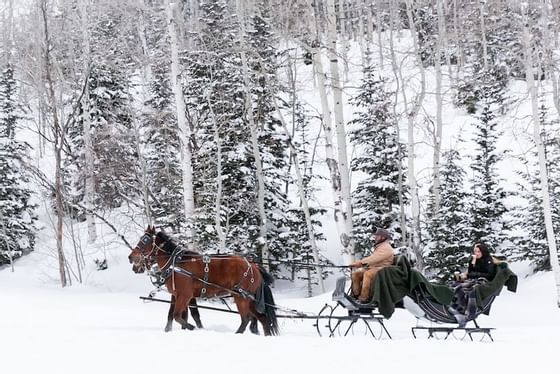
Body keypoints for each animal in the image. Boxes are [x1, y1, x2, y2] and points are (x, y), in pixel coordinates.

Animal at [128, 225, 278, 336]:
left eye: (145, 240)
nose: (131, 257)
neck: (176, 264)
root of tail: (253, 266)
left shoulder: (185, 295)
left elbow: (178, 316)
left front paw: (192, 328)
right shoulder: (177, 295)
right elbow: (173, 316)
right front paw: (171, 330)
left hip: (241, 297)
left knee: (246, 319)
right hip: (250, 299)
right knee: (262, 319)